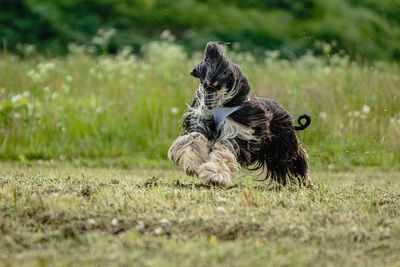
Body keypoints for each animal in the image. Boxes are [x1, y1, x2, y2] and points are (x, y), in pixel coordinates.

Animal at [167, 42, 310, 188]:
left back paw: (305, 181)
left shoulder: (238, 130)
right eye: (205, 85)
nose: (207, 103)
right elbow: (193, 138)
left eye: (218, 86)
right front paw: (190, 162)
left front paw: (215, 174)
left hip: (283, 145)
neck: (221, 105)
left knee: (295, 158)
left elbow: (225, 150)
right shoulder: (201, 120)